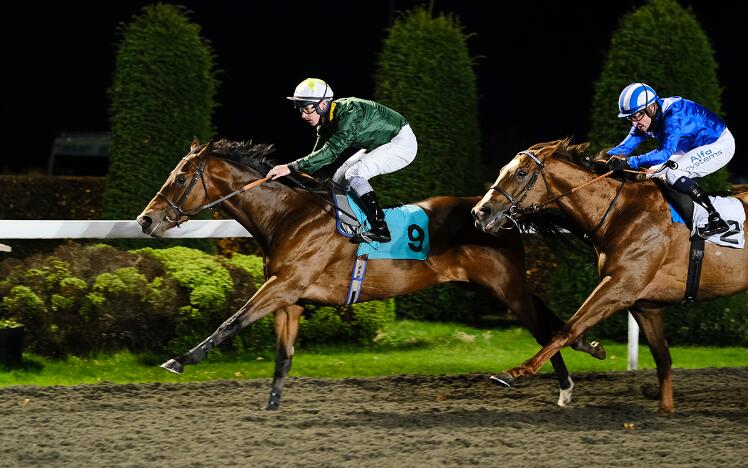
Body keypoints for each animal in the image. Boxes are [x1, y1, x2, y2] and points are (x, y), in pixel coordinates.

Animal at [134, 138, 600, 410]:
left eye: (180, 177)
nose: (145, 220)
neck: (288, 215)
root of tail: (494, 211)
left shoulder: (282, 286)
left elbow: (231, 321)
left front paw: (179, 360)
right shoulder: (291, 300)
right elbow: (283, 356)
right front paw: (272, 406)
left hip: (505, 286)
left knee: (541, 328)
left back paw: (563, 386)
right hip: (504, 284)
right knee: (547, 317)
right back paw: (588, 347)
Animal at [474, 139, 748, 414]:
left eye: (521, 173)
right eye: (503, 170)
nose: (480, 212)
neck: (621, 212)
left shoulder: (620, 286)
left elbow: (568, 328)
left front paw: (512, 373)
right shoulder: (643, 305)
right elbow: (662, 357)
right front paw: (665, 408)